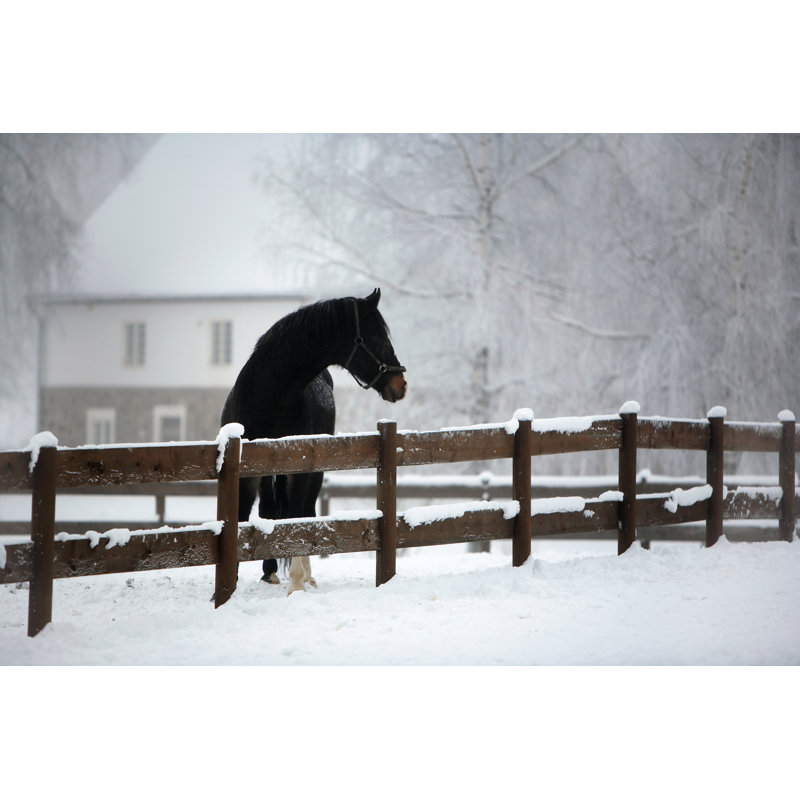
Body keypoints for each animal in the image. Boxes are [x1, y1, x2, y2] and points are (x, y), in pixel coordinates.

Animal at [220, 288, 407, 594]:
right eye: (378, 337)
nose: (400, 384)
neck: (269, 397)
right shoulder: (246, 471)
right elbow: (241, 516)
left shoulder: (301, 469)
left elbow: (298, 519)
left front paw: (296, 582)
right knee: (270, 509)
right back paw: (270, 571)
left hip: (314, 473)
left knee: (305, 510)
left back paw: (305, 574)